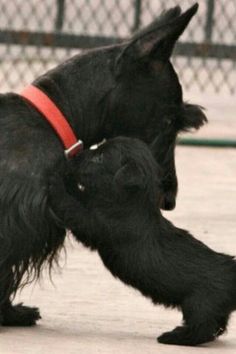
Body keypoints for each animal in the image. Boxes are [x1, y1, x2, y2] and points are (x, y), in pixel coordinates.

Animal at [49, 137, 236, 348]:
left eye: (100, 157)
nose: (72, 157)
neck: (132, 200)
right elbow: (78, 196)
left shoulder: (94, 224)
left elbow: (71, 206)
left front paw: (56, 178)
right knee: (216, 327)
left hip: (199, 304)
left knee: (201, 328)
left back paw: (174, 337)